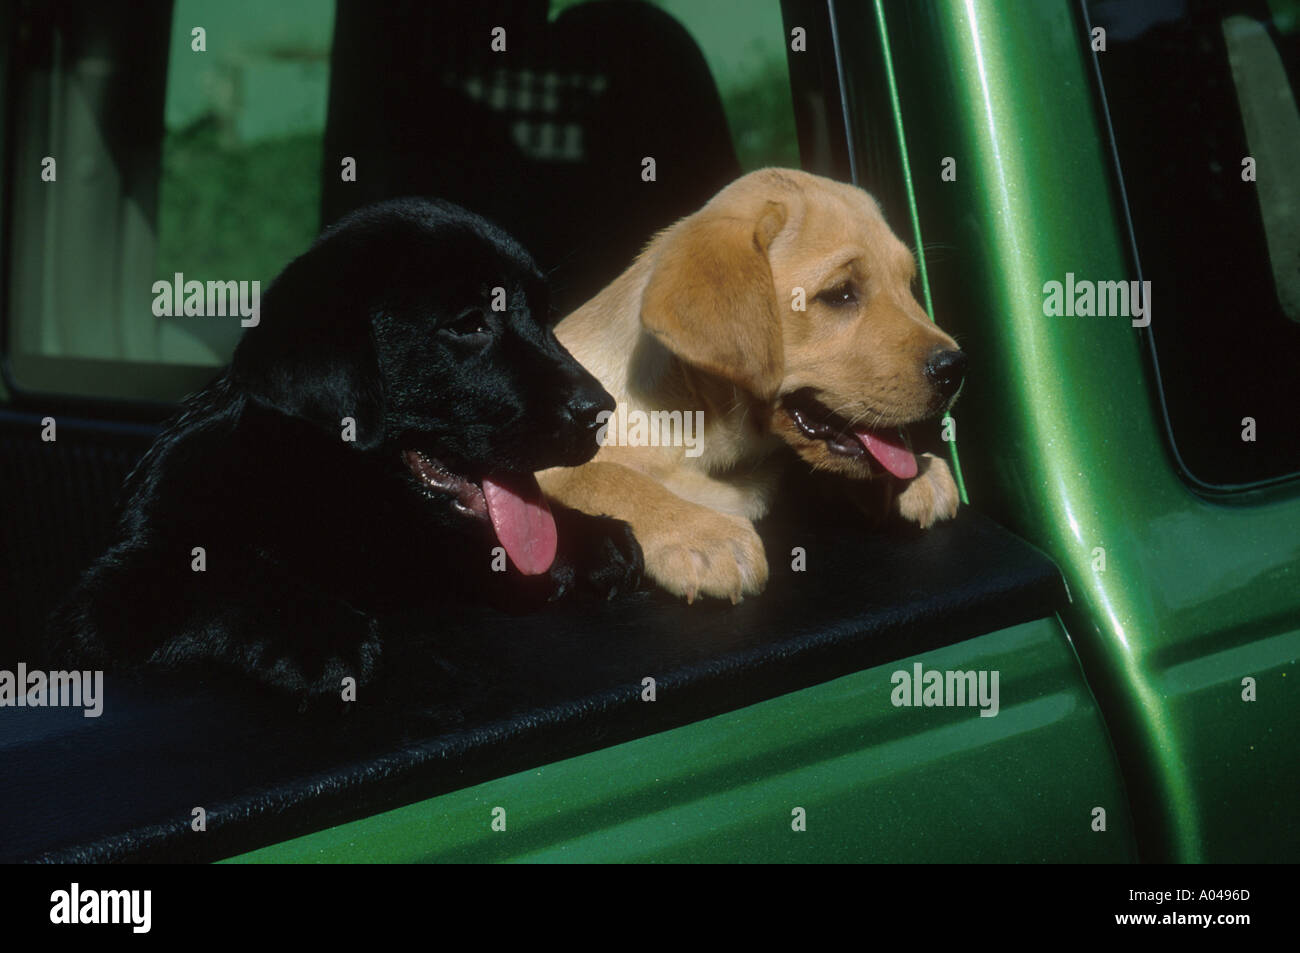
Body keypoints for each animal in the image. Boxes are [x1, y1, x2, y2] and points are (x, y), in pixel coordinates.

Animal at [55, 197, 644, 696]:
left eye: (545, 318)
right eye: (469, 324)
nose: (600, 410)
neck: (319, 489)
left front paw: (583, 538)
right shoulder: (112, 597)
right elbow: (220, 577)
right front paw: (314, 627)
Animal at [538, 166, 967, 598]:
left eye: (909, 285)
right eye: (840, 293)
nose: (956, 368)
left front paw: (916, 474)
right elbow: (603, 476)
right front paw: (704, 536)